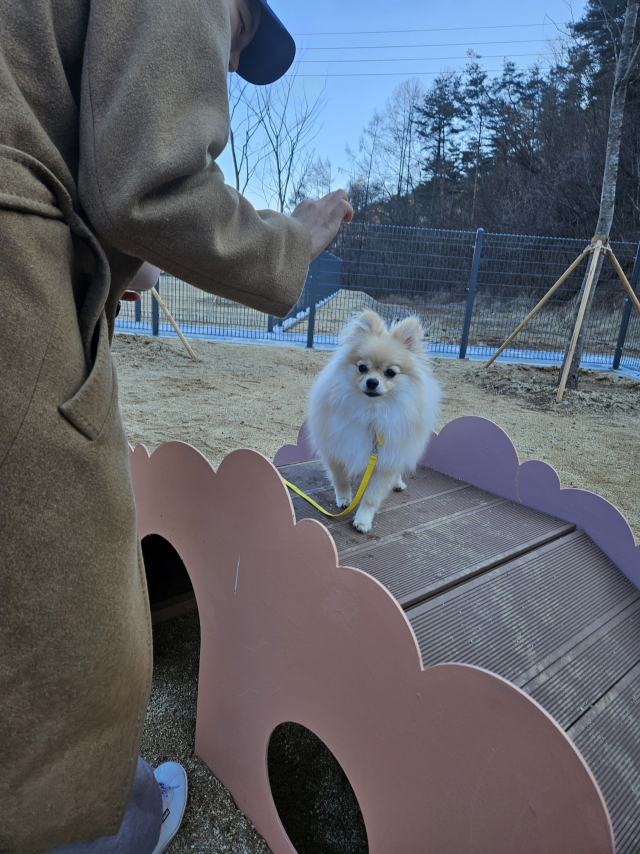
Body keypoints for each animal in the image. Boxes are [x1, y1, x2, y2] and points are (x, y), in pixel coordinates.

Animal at [308, 310, 440, 532]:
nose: (372, 382)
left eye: (390, 372)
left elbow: (371, 496)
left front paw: (363, 520)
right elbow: (340, 478)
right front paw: (344, 499)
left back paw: (397, 483)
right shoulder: (336, 447)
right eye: (362, 367)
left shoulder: (386, 461)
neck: (370, 412)